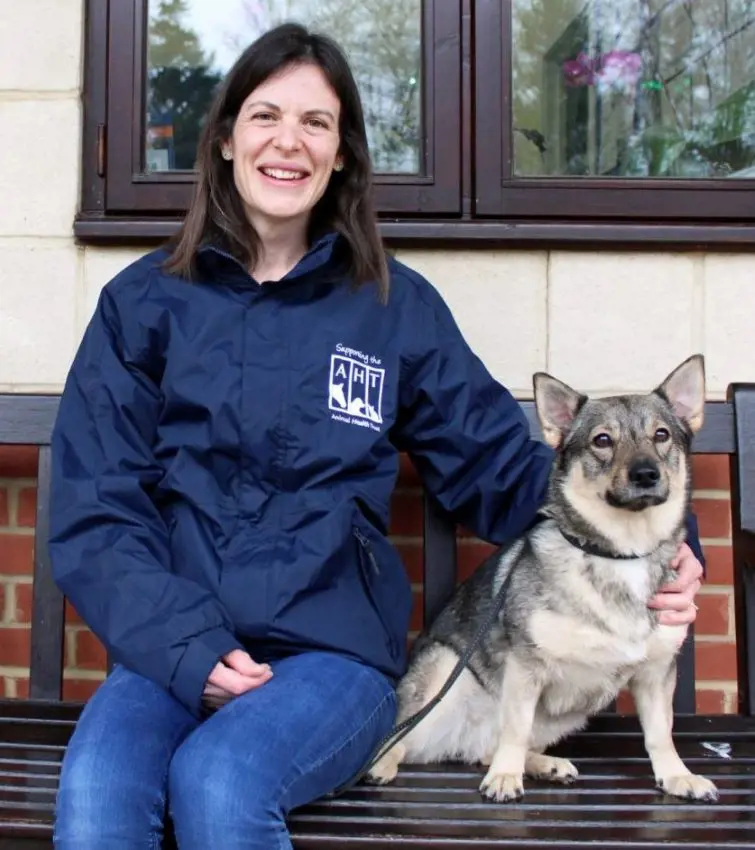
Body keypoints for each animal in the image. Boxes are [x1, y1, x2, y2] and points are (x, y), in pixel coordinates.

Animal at [370, 352, 716, 800]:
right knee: (400, 737)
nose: (645, 474)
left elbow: (661, 734)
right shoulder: (525, 665)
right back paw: (382, 765)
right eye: (602, 440)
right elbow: (515, 729)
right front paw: (504, 777)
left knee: (486, 750)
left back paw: (543, 764)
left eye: (661, 435)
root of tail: (456, 742)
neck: (620, 553)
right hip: (443, 668)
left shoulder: (656, 673)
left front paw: (676, 775)